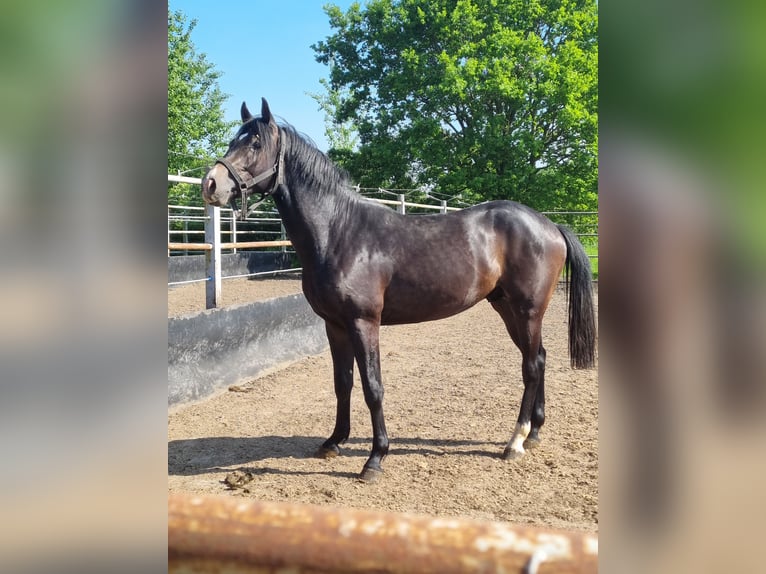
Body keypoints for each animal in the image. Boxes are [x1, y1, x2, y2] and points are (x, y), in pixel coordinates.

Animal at [201, 98, 596, 482]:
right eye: (234, 140)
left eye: (254, 144)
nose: (210, 184)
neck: (339, 231)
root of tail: (550, 225)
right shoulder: (335, 325)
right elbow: (343, 383)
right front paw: (334, 441)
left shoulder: (364, 323)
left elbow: (373, 387)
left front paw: (375, 459)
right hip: (506, 308)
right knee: (539, 357)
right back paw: (534, 433)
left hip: (528, 310)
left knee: (531, 365)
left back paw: (514, 442)